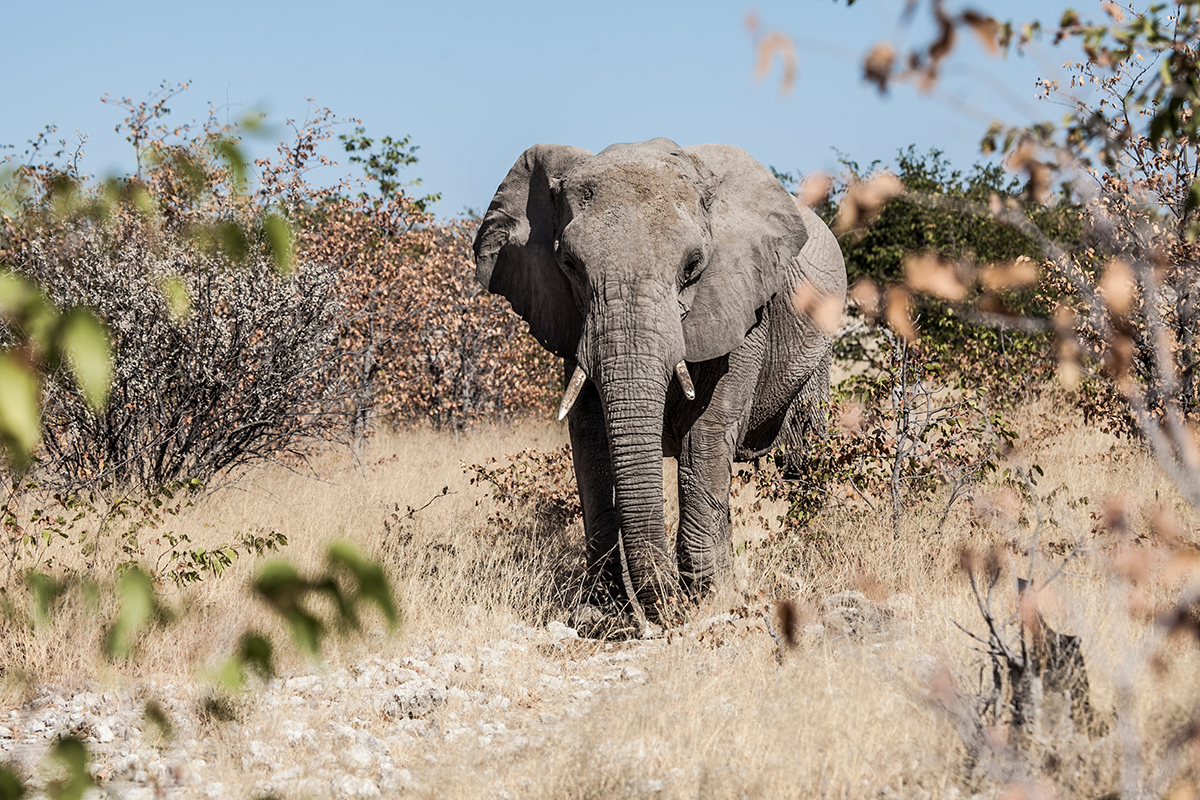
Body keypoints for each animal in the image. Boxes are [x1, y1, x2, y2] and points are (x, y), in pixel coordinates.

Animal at [474, 138, 846, 626]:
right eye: (569, 264)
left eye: (693, 265)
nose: (664, 607)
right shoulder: (572, 320)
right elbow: (588, 437)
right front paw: (600, 612)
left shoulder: (744, 306)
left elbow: (707, 433)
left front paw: (705, 600)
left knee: (803, 457)